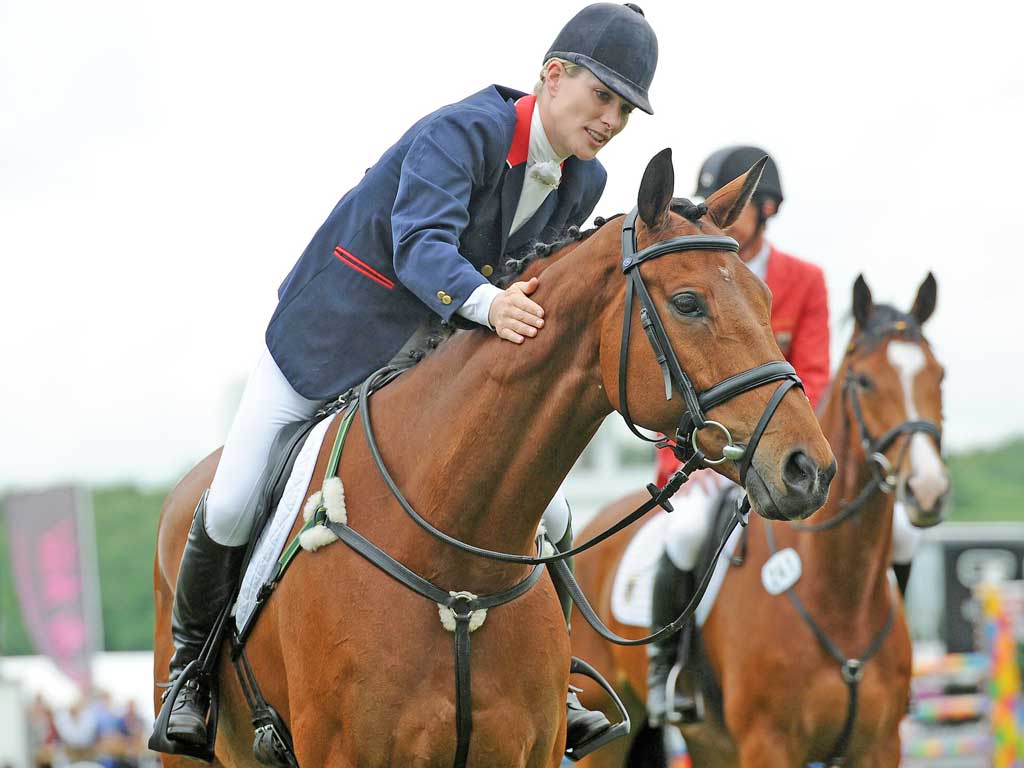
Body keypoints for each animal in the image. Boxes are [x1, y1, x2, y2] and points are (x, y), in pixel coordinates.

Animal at [573, 274, 946, 768]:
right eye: (864, 381)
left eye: (939, 376)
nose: (928, 488)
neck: (839, 593)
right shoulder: (768, 743)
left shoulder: (880, 747)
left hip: (710, 743)